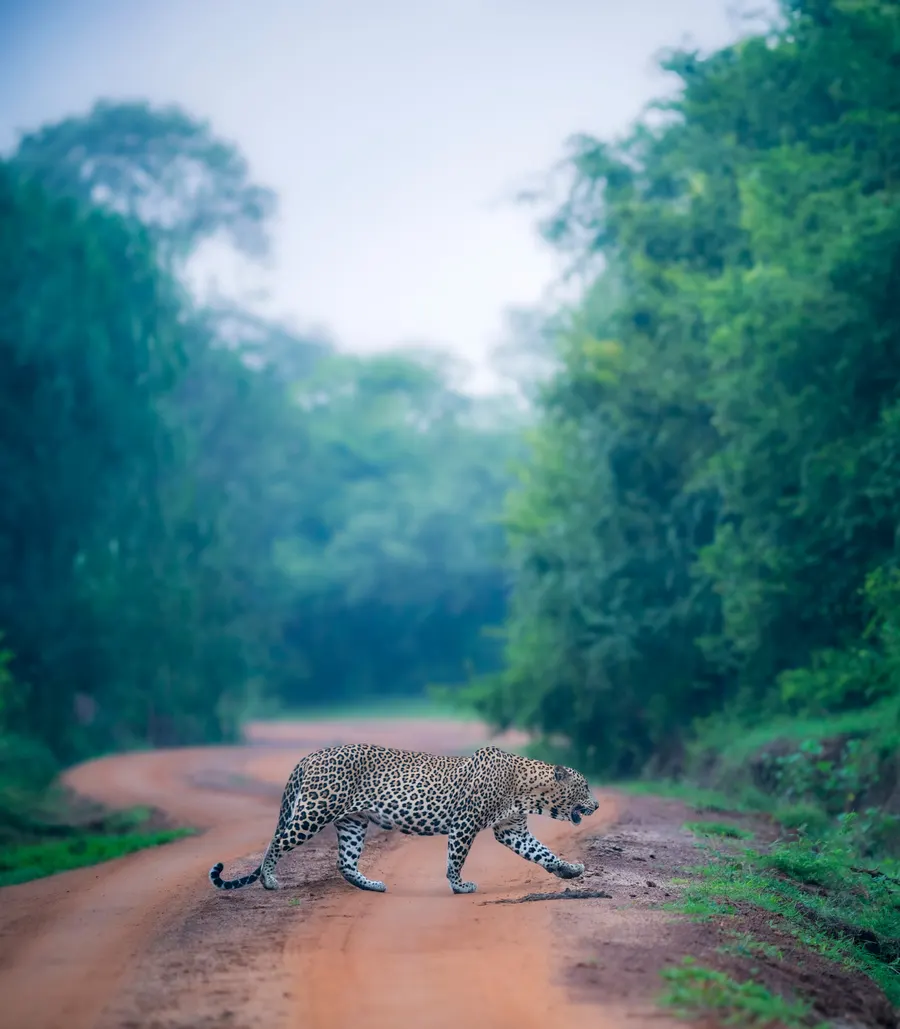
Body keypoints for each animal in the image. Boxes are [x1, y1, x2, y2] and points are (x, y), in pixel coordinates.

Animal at [208, 742, 600, 895]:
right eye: (584, 786)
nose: (596, 805)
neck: (525, 788)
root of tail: (310, 756)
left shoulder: (511, 830)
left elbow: (543, 852)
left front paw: (569, 870)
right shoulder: (465, 824)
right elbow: (456, 858)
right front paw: (459, 886)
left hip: (353, 822)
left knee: (344, 861)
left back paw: (371, 885)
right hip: (314, 812)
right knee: (275, 841)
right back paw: (269, 880)